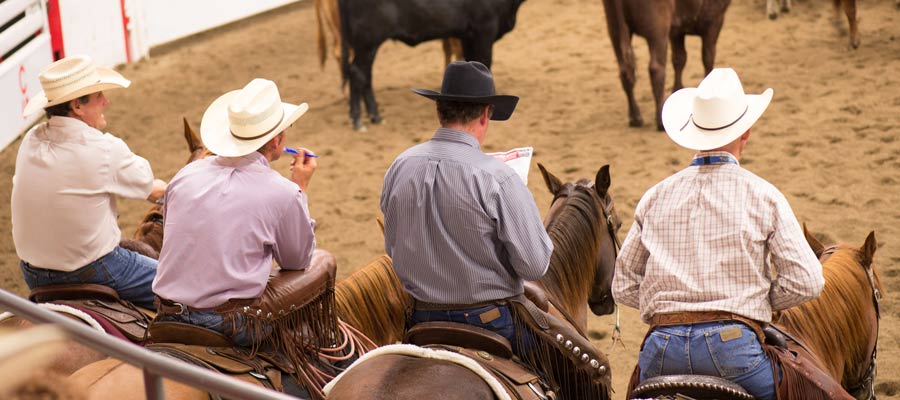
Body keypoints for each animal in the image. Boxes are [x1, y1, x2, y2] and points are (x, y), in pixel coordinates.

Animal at [336, 0, 528, 130]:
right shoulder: (484, 29)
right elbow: (484, 62)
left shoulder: (468, 35)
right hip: (368, 41)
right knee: (358, 73)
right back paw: (359, 120)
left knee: (365, 75)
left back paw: (373, 116)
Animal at [596, 0, 732, 130]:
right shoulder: (714, 21)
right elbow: (708, 58)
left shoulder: (677, 31)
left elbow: (679, 59)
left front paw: (677, 91)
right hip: (658, 33)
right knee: (656, 69)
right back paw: (660, 121)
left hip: (614, 30)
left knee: (625, 71)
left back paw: (635, 117)